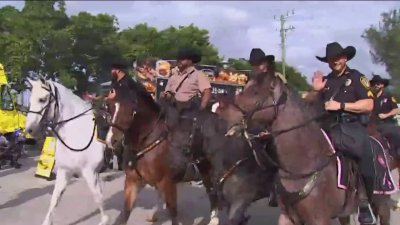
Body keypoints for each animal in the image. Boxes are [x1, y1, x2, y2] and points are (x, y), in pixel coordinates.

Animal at [25, 78, 108, 225]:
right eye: (30, 100)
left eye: (42, 99)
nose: (29, 130)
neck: (78, 131)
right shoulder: (65, 171)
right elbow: (55, 198)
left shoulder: (90, 172)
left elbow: (97, 196)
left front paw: (104, 220)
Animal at [104, 81, 219, 225]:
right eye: (109, 106)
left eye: (131, 108)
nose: (111, 140)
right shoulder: (133, 181)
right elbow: (124, 213)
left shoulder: (167, 182)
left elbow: (173, 212)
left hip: (209, 172)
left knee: (214, 192)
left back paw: (214, 219)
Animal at [216, 74, 396, 225]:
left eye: (255, 92)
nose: (222, 111)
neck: (304, 164)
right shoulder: (288, 217)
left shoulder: (319, 219)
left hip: (382, 204)